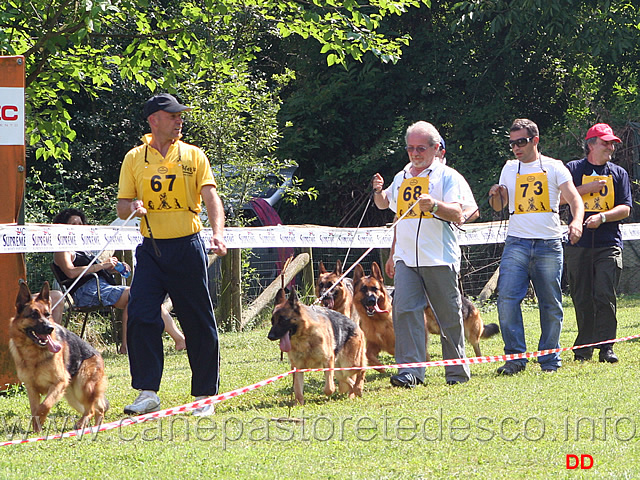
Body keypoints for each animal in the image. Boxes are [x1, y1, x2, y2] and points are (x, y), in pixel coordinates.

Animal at [8, 280, 109, 434]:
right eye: (33, 315)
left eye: (47, 314)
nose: (50, 328)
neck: (33, 353)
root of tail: (98, 354)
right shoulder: (31, 389)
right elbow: (35, 410)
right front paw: (37, 430)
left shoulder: (59, 383)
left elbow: (44, 406)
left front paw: (41, 421)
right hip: (72, 396)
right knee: (99, 408)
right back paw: (95, 427)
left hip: (83, 387)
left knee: (92, 410)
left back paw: (84, 425)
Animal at [352, 260, 498, 366]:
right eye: (363, 289)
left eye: (375, 289)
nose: (371, 301)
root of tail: (470, 305)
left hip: (470, 335)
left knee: (475, 346)